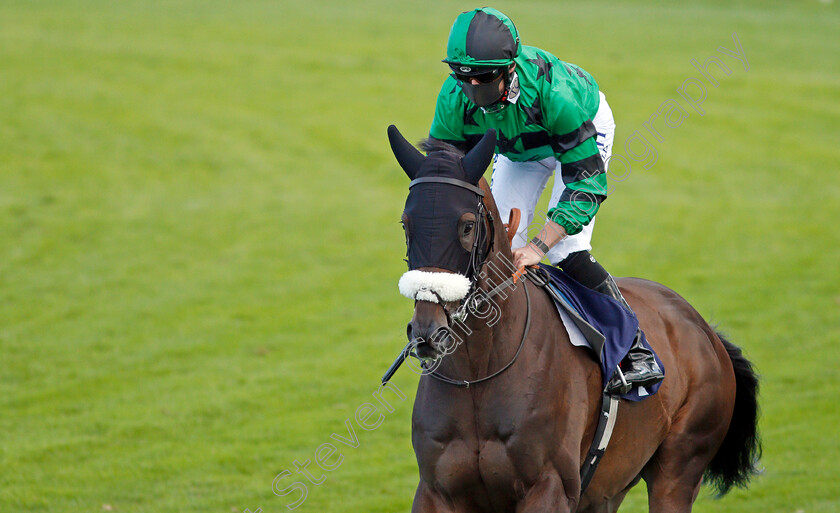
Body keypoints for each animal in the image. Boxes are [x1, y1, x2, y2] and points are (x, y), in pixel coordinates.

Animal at [388, 125, 760, 512]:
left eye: (467, 226)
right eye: (406, 224)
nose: (427, 331)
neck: (478, 374)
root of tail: (706, 331)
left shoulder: (549, 486)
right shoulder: (436, 491)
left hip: (679, 467)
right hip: (608, 488)